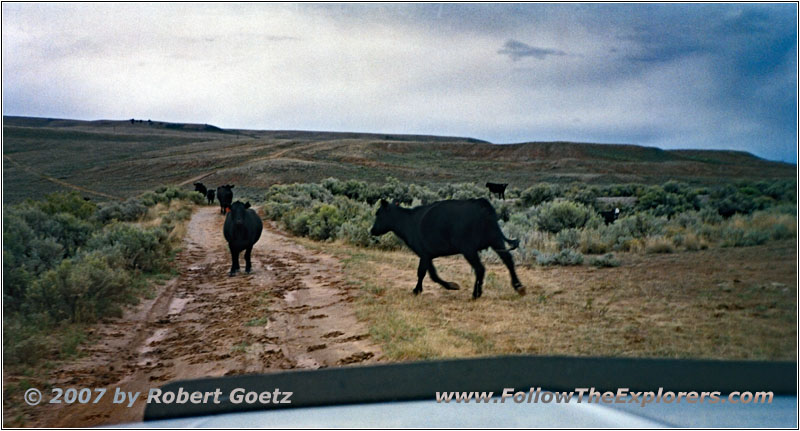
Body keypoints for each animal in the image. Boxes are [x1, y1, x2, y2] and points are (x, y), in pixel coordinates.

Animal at [370, 199, 524, 300]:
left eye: (378, 213)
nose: (372, 230)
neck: (408, 221)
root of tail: (481, 203)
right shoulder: (427, 255)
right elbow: (429, 273)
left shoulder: (423, 253)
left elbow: (425, 273)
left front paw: (448, 286)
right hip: (496, 240)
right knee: (508, 261)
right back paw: (518, 287)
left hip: (469, 248)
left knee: (480, 268)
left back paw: (476, 294)